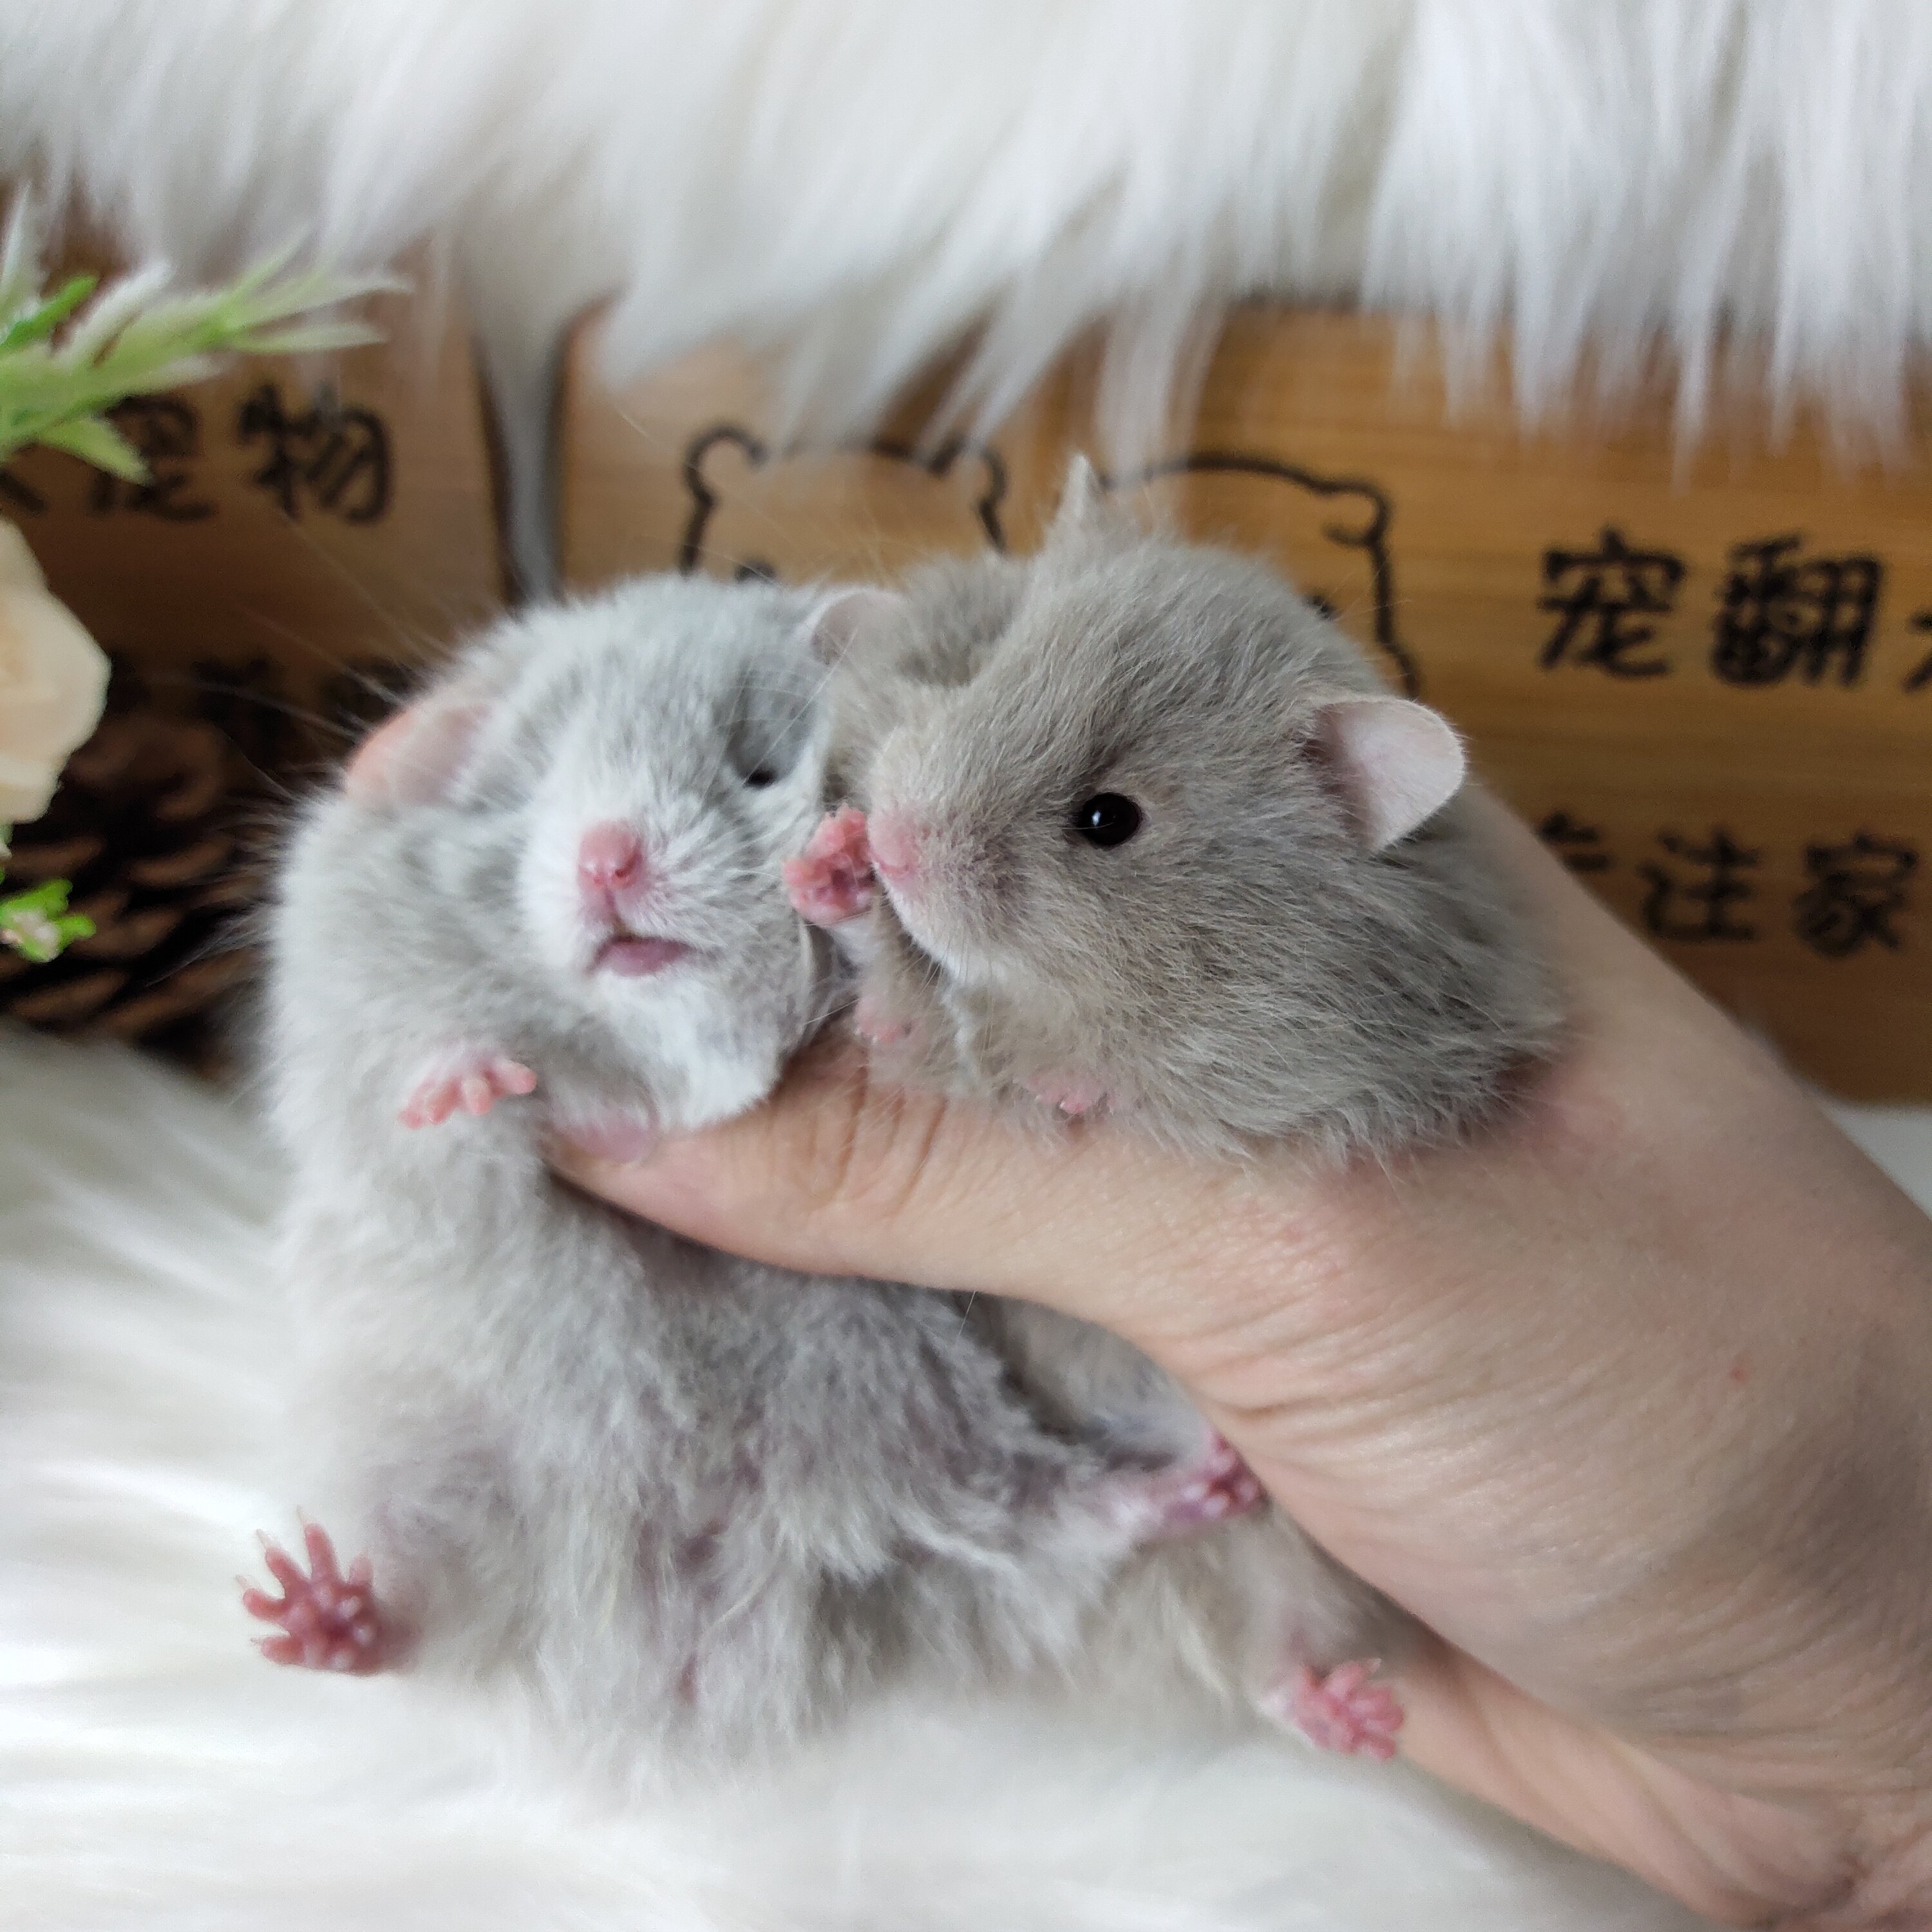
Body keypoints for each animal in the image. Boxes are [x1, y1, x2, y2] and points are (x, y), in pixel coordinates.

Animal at [248, 574, 1266, 1779]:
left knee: (1035, 1515)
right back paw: (313, 1609)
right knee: (430, 1613)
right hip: (435, 1472)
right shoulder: (370, 1102)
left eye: (758, 766)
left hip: (940, 1425)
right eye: (528, 790)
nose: (606, 858)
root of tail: (692, 1627)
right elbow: (432, 1117)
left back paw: (1203, 1484)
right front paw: (481, 1078)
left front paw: (843, 870)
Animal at [784, 461, 1562, 1754]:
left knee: (1268, 1651)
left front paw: (1069, 1082)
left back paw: (1342, 1694)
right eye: (980, 671)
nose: (892, 841)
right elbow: (893, 992)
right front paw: (830, 865)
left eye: (1109, 820)